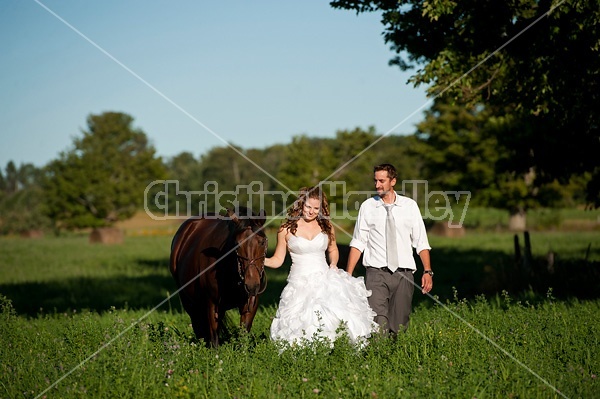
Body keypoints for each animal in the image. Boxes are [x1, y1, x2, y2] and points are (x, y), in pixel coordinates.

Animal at [171, 208, 270, 348]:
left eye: (262, 242)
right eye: (237, 244)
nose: (251, 284)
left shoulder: (251, 302)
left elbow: (244, 333)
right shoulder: (212, 303)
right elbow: (214, 339)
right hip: (188, 301)